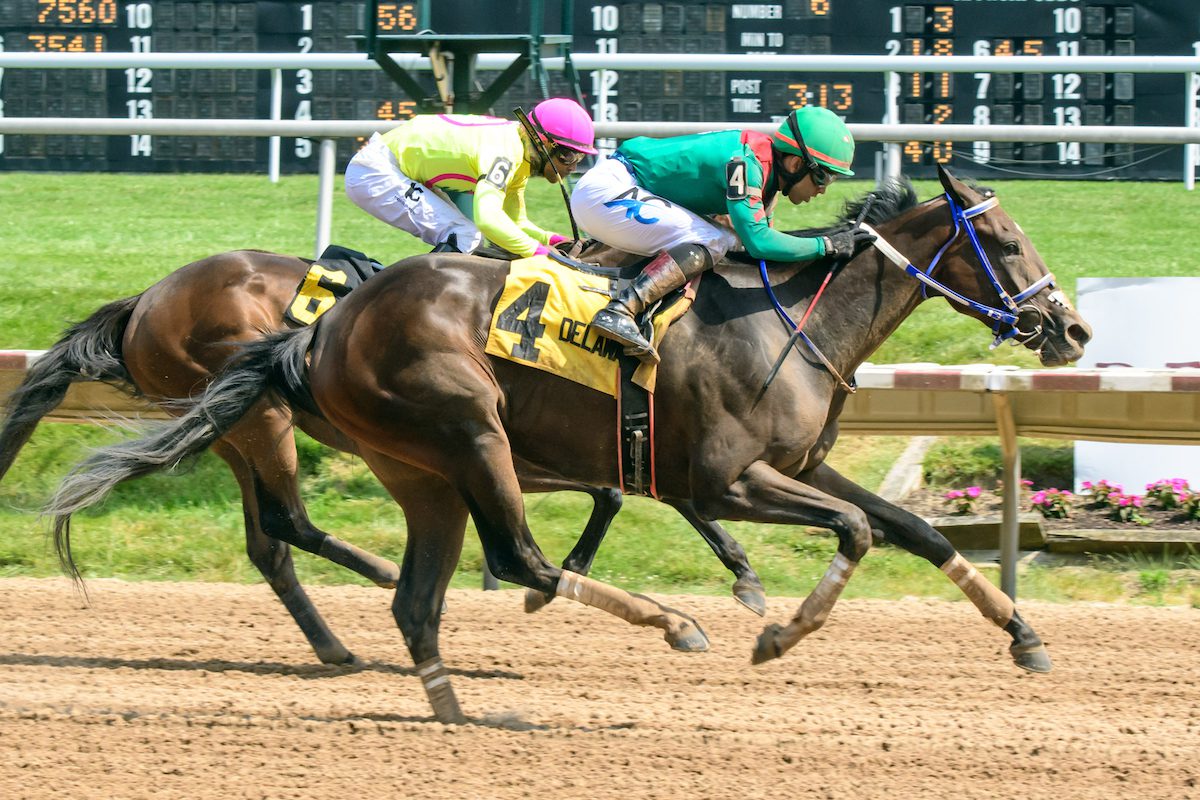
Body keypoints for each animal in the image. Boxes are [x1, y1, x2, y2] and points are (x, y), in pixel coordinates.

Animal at [0, 248, 768, 662]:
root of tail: (142, 304)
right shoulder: (503, 447)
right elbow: (629, 493)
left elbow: (645, 491)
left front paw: (743, 573)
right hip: (260, 418)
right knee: (285, 523)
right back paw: (376, 575)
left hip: (229, 428)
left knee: (268, 541)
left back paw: (334, 643)